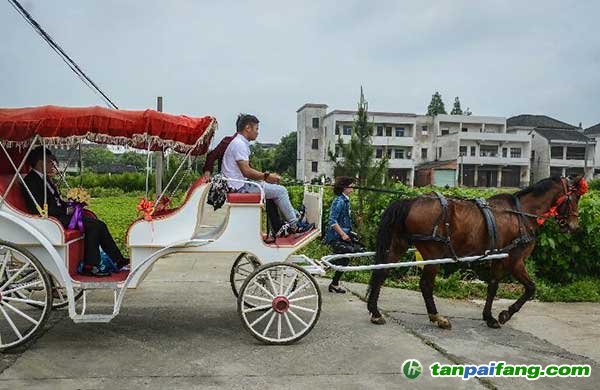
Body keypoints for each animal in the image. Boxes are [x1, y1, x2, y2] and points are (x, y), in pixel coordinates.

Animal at [368, 176, 588, 330]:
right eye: (576, 197)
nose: (574, 226)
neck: (521, 214)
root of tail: (410, 201)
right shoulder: (515, 260)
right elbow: (530, 288)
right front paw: (505, 314)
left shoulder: (498, 258)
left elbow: (493, 286)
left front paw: (489, 317)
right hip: (433, 252)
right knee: (425, 285)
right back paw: (437, 317)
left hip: (397, 245)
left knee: (381, 272)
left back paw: (375, 312)